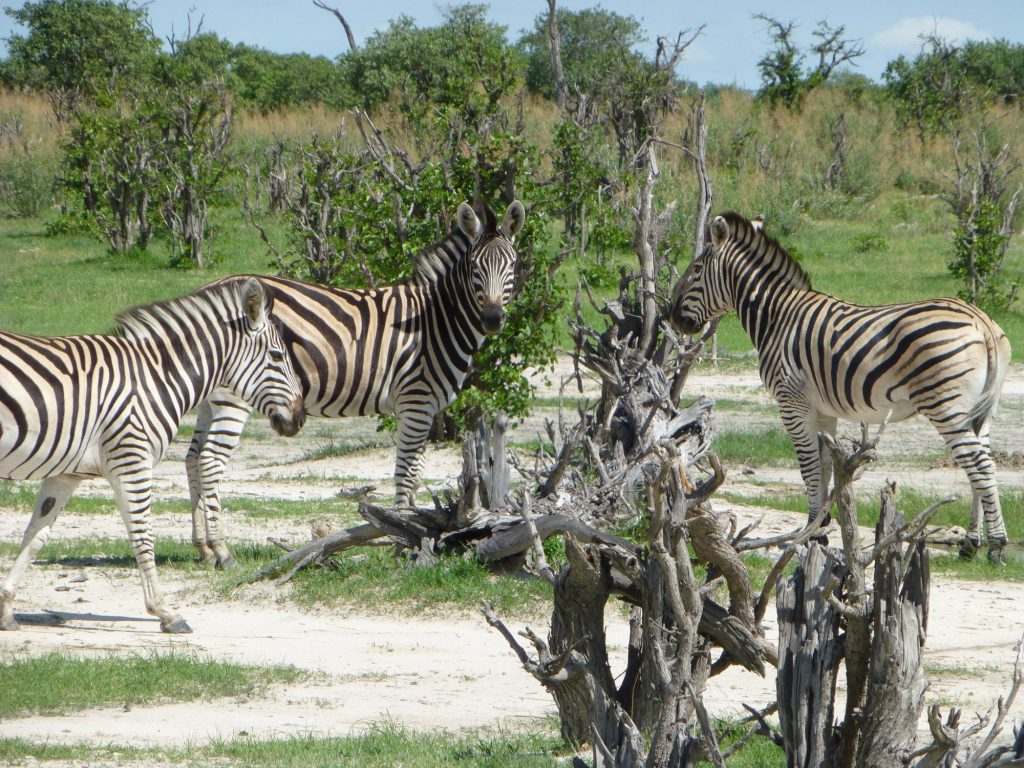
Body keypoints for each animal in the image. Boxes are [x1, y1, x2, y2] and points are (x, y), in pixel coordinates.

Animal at [0, 277, 306, 633]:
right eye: (277, 356)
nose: (300, 418)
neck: (156, 378)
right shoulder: (132, 460)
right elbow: (143, 537)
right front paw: (165, 612)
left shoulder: (66, 475)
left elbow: (35, 537)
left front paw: (6, 608)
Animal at [185, 199, 526, 568]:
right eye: (476, 268)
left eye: (512, 265)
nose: (492, 319)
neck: (435, 321)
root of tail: (204, 291)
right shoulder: (416, 401)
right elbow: (406, 474)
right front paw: (406, 540)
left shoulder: (425, 407)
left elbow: (417, 473)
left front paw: (413, 532)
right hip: (234, 396)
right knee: (210, 461)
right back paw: (222, 550)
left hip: (209, 399)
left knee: (192, 458)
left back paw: (204, 548)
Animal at [671, 212, 1012, 564]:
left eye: (695, 270)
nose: (672, 318)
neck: (777, 317)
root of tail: (981, 320)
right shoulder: (822, 410)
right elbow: (823, 468)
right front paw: (820, 527)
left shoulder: (792, 404)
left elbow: (808, 469)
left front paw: (810, 532)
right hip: (980, 410)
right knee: (978, 462)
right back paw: (970, 544)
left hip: (945, 405)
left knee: (979, 464)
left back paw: (997, 546)